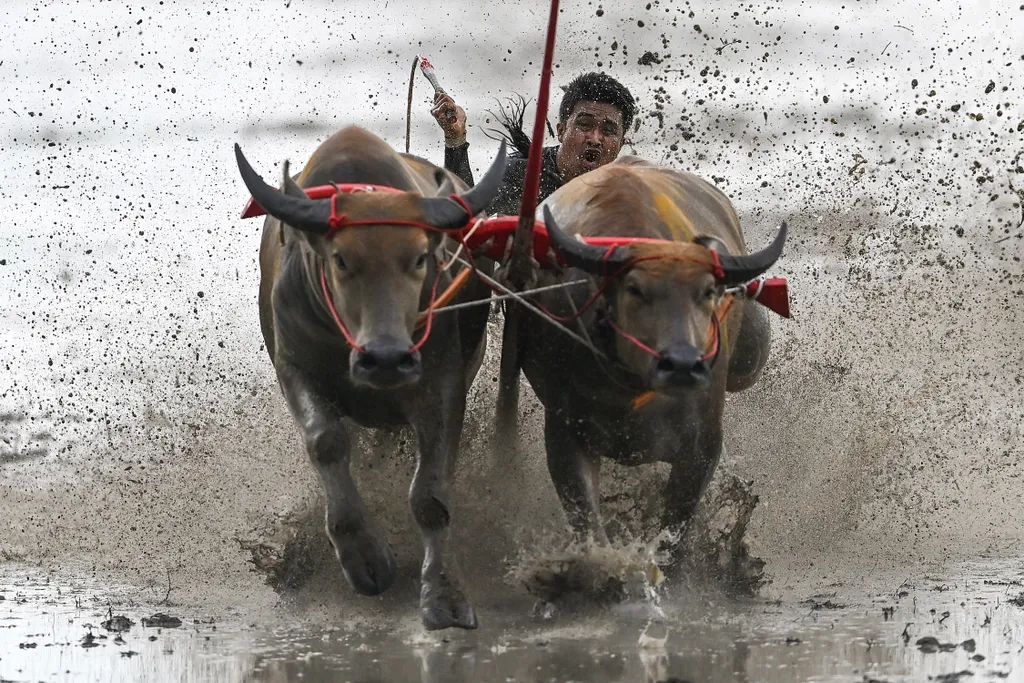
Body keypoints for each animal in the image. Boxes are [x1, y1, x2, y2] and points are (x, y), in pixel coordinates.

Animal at [234, 126, 507, 630]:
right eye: (341, 260)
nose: (386, 359)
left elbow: (431, 495)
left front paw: (444, 596)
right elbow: (326, 442)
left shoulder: (440, 382)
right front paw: (366, 560)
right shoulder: (294, 368)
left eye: (419, 258)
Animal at [499, 156, 786, 548]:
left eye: (708, 291)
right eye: (635, 289)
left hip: (749, 357)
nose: (683, 365)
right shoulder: (564, 434)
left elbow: (674, 534)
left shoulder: (702, 445)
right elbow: (590, 530)